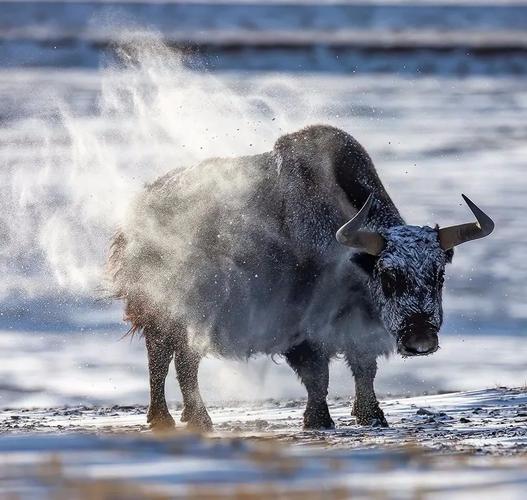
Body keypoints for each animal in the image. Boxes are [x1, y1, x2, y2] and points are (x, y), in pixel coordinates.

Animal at [108, 125, 496, 430]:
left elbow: (364, 369)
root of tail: (137, 210)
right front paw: (319, 420)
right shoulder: (302, 329)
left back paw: (191, 417)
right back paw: (174, 418)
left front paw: (372, 416)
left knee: (183, 360)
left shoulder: (360, 328)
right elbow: (317, 375)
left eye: (439, 275)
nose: (420, 340)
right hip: (164, 313)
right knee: (162, 359)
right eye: (388, 276)